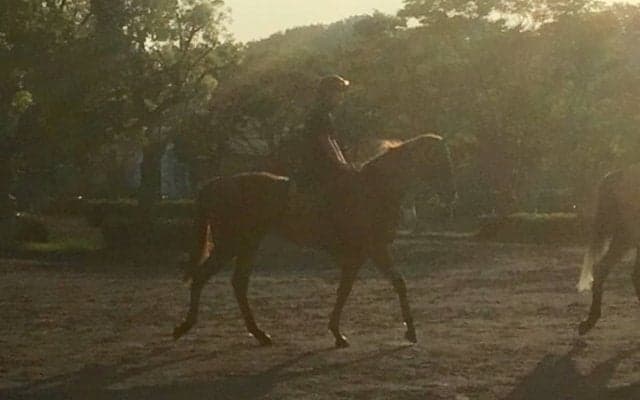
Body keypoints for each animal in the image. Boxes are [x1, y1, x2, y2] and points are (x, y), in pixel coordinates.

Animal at [173, 134, 456, 347]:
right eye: (440, 160)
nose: (452, 194)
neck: (374, 189)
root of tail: (217, 183)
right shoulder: (371, 249)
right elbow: (368, 286)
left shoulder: (365, 253)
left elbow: (371, 286)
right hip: (230, 244)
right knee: (203, 277)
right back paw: (185, 325)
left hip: (248, 244)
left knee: (238, 284)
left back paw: (259, 333)